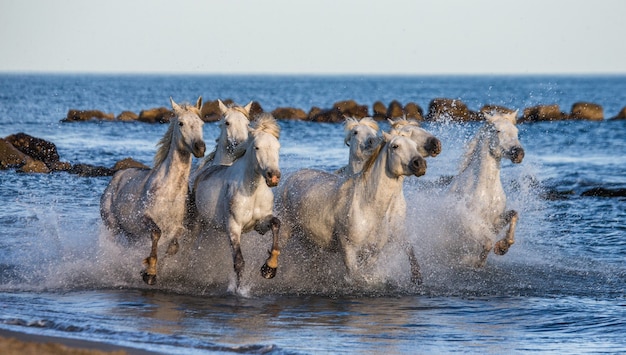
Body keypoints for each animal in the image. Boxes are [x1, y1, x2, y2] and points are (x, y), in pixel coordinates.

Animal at [98, 98, 204, 286]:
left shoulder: (177, 226)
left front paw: (153, 268)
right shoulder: (145, 218)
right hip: (113, 227)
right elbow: (156, 233)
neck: (170, 192)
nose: (200, 148)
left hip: (131, 233)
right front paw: (150, 272)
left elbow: (174, 245)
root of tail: (116, 177)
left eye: (201, 123)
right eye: (181, 123)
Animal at [191, 114, 282, 292]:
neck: (252, 191)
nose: (273, 176)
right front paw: (239, 290)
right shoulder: (233, 227)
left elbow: (276, 223)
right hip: (198, 223)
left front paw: (269, 268)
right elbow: (239, 261)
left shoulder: (260, 224)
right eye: (257, 148)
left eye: (278, 148)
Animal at [276, 132, 424, 286]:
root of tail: (290, 178)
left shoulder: (373, 252)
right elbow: (355, 276)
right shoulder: (348, 248)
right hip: (285, 230)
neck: (367, 207)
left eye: (416, 146)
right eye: (395, 146)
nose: (420, 164)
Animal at [444, 111, 520, 268]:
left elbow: (514, 214)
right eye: (498, 131)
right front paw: (478, 262)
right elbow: (488, 242)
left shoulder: (495, 221)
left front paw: (503, 246)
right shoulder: (470, 224)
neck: (487, 190)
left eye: (516, 132)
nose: (519, 153)